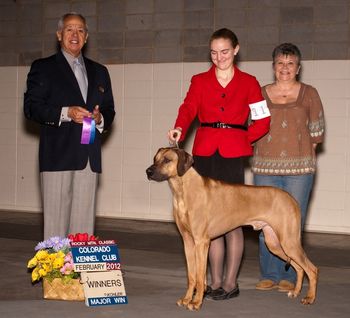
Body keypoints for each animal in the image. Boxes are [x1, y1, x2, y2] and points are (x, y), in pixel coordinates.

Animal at [145, 148, 318, 310]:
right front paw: (187, 299)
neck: (183, 190)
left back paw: (309, 298)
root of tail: (291, 199)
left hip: (289, 241)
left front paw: (196, 302)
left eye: (167, 160)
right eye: (155, 159)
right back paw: (295, 292)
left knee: (312, 269)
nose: (148, 171)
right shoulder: (188, 242)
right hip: (274, 243)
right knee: (300, 268)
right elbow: (192, 276)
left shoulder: (201, 242)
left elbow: (200, 277)